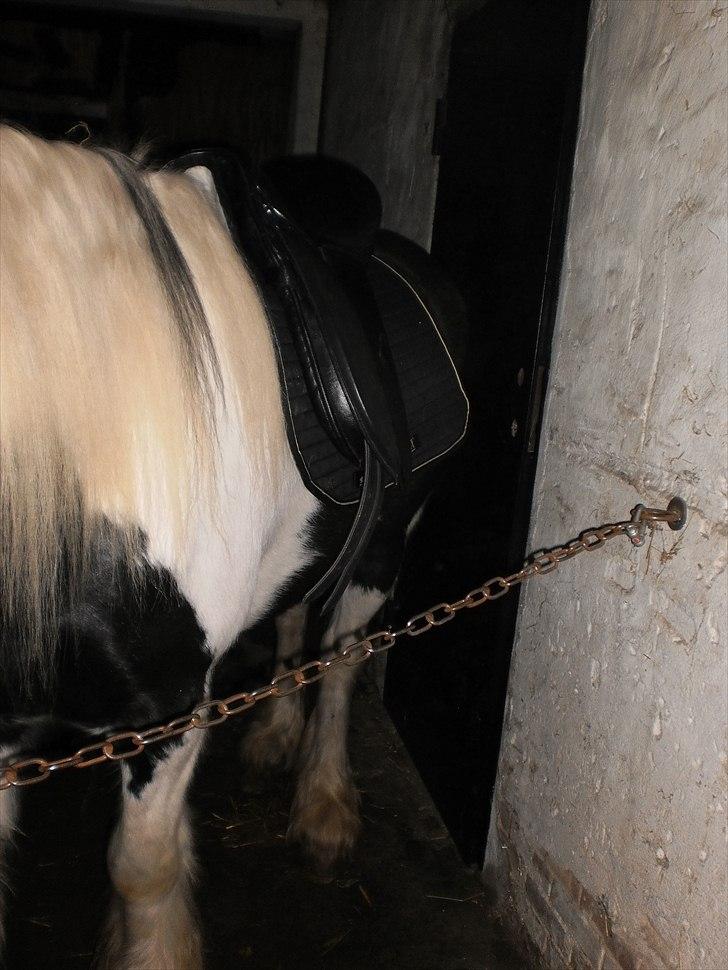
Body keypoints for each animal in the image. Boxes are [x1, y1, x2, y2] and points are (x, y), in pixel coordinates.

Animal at [0, 125, 466, 964]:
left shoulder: (170, 711)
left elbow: (143, 872)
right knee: (294, 623)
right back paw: (274, 738)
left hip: (383, 550)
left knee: (343, 662)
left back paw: (323, 808)